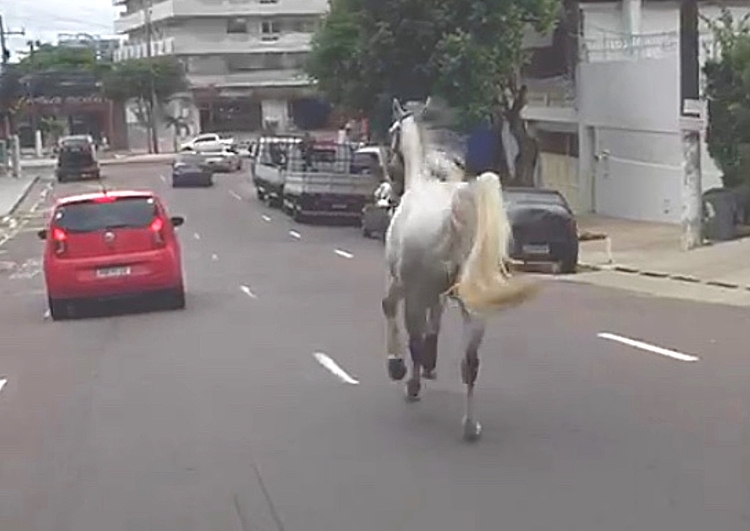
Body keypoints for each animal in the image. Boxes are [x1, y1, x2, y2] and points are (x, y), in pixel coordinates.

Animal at [384, 97, 536, 442]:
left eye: (390, 133)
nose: (389, 189)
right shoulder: (439, 293)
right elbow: (434, 327)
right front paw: (429, 364)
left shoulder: (404, 282)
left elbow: (393, 312)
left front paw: (398, 367)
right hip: (475, 303)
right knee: (471, 363)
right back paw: (470, 425)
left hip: (418, 290)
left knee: (416, 338)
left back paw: (413, 385)